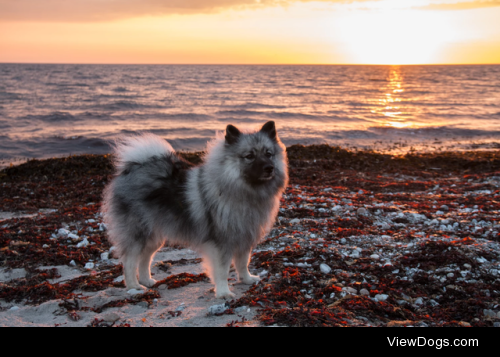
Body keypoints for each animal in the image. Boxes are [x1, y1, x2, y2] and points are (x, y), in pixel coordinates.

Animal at [102, 121, 290, 298]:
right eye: (249, 156)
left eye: (268, 154)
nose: (269, 168)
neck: (243, 191)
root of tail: (133, 167)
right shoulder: (221, 243)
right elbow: (222, 270)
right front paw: (223, 292)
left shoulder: (243, 237)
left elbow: (243, 262)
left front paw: (247, 279)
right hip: (138, 233)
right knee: (129, 261)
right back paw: (134, 286)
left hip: (154, 236)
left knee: (145, 258)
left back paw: (146, 280)